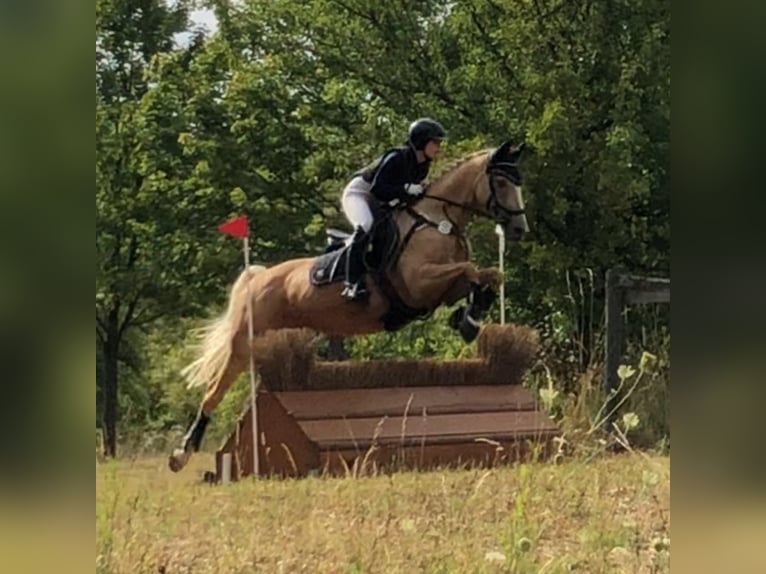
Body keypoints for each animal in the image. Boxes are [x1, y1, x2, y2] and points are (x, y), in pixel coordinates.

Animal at [168, 140, 528, 472]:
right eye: (501, 183)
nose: (519, 229)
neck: (438, 220)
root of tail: (257, 279)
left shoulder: (439, 289)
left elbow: (487, 277)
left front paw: (468, 320)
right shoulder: (418, 283)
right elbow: (470, 270)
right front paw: (467, 319)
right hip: (245, 340)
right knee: (214, 390)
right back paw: (181, 454)